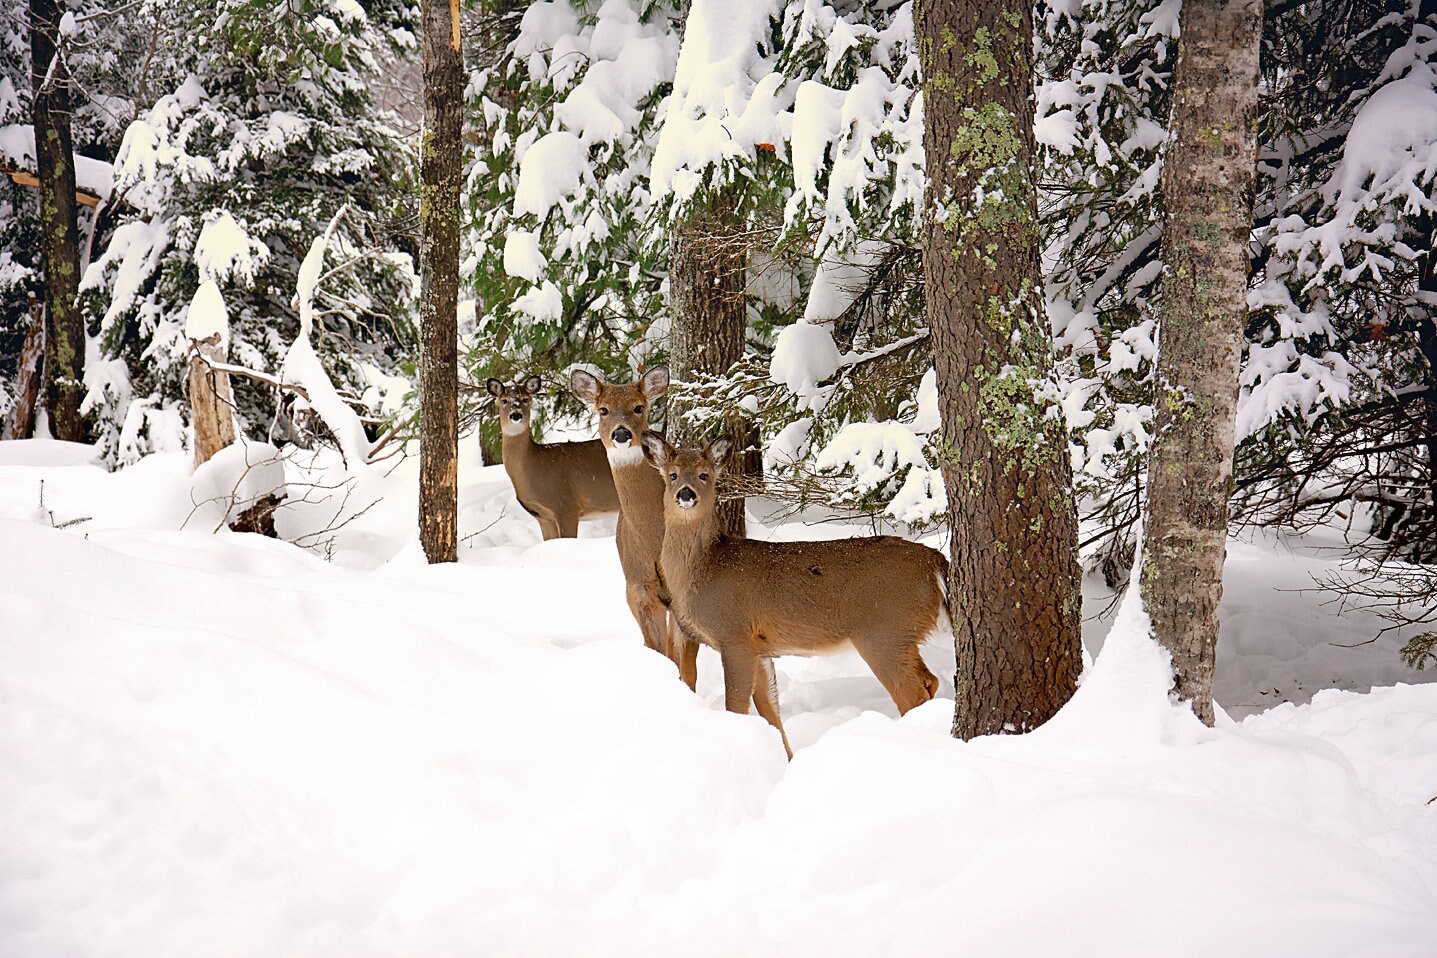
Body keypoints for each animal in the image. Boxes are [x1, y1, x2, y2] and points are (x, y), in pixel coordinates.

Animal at [568, 365, 700, 689]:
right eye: (603, 410)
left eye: (638, 407)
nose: (621, 433)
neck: (653, 542)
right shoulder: (638, 590)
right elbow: (661, 654)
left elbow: (686, 666)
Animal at [640, 431, 949, 758]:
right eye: (672, 475)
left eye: (704, 474)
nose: (686, 494)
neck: (704, 569)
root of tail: (936, 562)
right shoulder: (760, 647)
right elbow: (769, 710)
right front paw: (785, 760)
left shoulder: (734, 636)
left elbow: (736, 705)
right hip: (901, 635)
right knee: (930, 681)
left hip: (885, 632)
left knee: (912, 695)